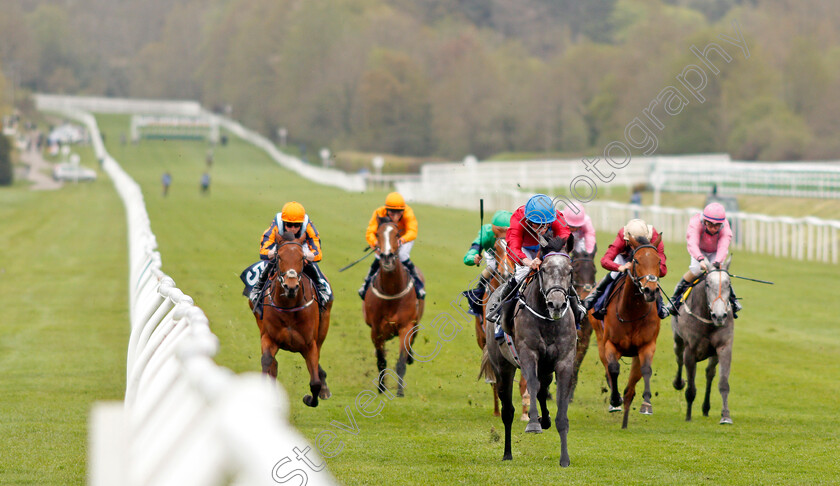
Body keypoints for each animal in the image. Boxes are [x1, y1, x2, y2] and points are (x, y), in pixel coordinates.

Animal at [249, 232, 332, 406]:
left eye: (302, 258)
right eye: (279, 256)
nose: (291, 287)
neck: (288, 306)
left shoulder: (309, 344)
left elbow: (315, 382)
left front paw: (310, 397)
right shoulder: (268, 337)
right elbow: (267, 361)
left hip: (323, 329)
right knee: (273, 364)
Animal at [362, 218, 426, 396]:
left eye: (397, 234)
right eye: (378, 234)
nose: (387, 257)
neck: (392, 292)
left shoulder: (406, 326)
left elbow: (401, 361)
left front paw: (400, 392)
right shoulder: (376, 330)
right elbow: (381, 361)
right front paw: (381, 388)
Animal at [486, 235, 576, 468]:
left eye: (570, 270)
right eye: (543, 269)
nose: (556, 304)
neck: (549, 322)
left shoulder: (564, 361)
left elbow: (560, 406)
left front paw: (565, 459)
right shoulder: (528, 353)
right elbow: (532, 385)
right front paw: (533, 424)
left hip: (546, 368)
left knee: (543, 391)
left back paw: (545, 420)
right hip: (503, 366)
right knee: (508, 410)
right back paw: (507, 453)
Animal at [592, 234, 664, 428]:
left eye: (658, 260)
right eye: (636, 260)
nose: (650, 290)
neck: (633, 311)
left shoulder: (647, 345)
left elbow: (645, 370)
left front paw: (646, 404)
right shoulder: (611, 344)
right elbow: (613, 368)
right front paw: (615, 400)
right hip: (599, 339)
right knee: (607, 366)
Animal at [668, 256, 736, 424]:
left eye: (729, 284)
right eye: (707, 284)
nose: (720, 316)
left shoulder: (724, 347)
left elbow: (723, 383)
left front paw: (726, 416)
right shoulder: (690, 351)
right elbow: (691, 388)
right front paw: (688, 416)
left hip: (713, 354)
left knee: (709, 373)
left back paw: (706, 408)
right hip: (678, 340)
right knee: (679, 359)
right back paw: (678, 383)